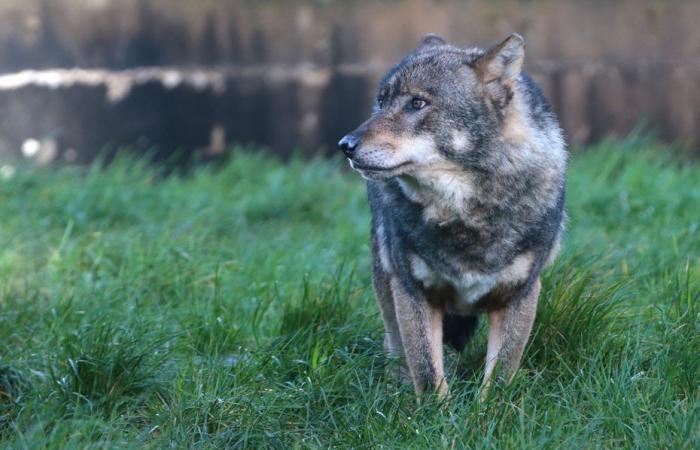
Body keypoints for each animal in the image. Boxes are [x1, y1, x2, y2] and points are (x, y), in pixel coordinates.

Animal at [340, 33, 568, 396]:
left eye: (417, 103)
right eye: (382, 102)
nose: (345, 145)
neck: (464, 215)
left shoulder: (519, 295)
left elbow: (499, 378)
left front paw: (486, 410)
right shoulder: (413, 291)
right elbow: (428, 373)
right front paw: (437, 411)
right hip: (385, 281)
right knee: (395, 346)